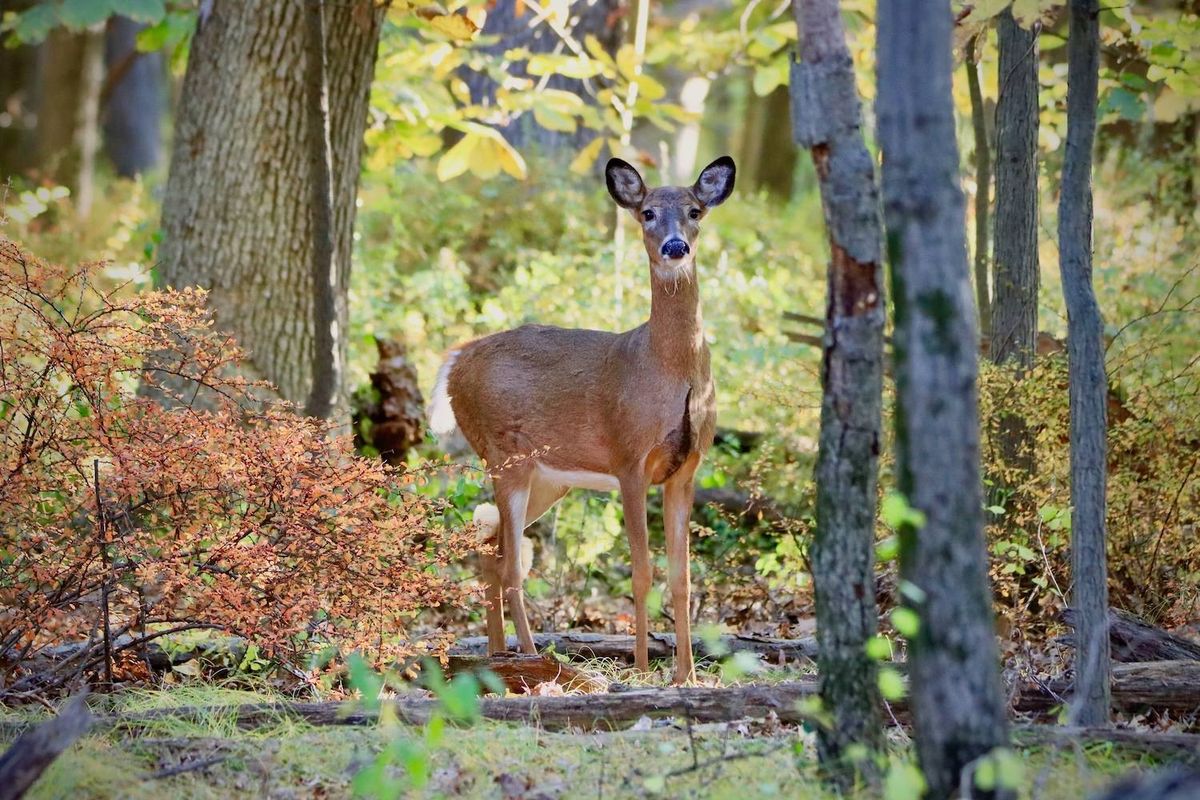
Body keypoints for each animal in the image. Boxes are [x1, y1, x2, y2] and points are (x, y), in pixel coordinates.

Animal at [427, 154, 734, 681]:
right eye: (647, 213)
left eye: (695, 211)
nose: (676, 247)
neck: (666, 370)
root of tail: (457, 358)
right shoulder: (629, 459)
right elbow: (642, 570)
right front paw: (642, 669)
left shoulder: (686, 470)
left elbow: (683, 577)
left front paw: (687, 676)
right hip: (503, 454)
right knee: (511, 565)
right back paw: (532, 658)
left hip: (550, 479)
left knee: (490, 552)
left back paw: (498, 657)